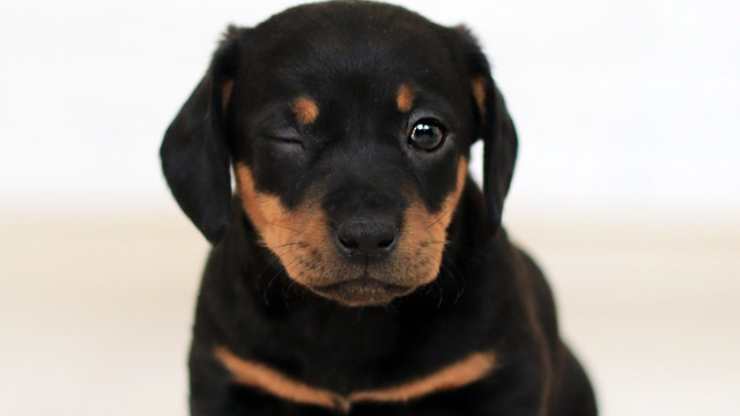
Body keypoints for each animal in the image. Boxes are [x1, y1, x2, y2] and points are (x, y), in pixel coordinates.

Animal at [160, 1, 597, 415]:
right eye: (286, 136)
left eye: (427, 132)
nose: (367, 236)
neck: (350, 322)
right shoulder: (227, 376)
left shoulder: (503, 376)